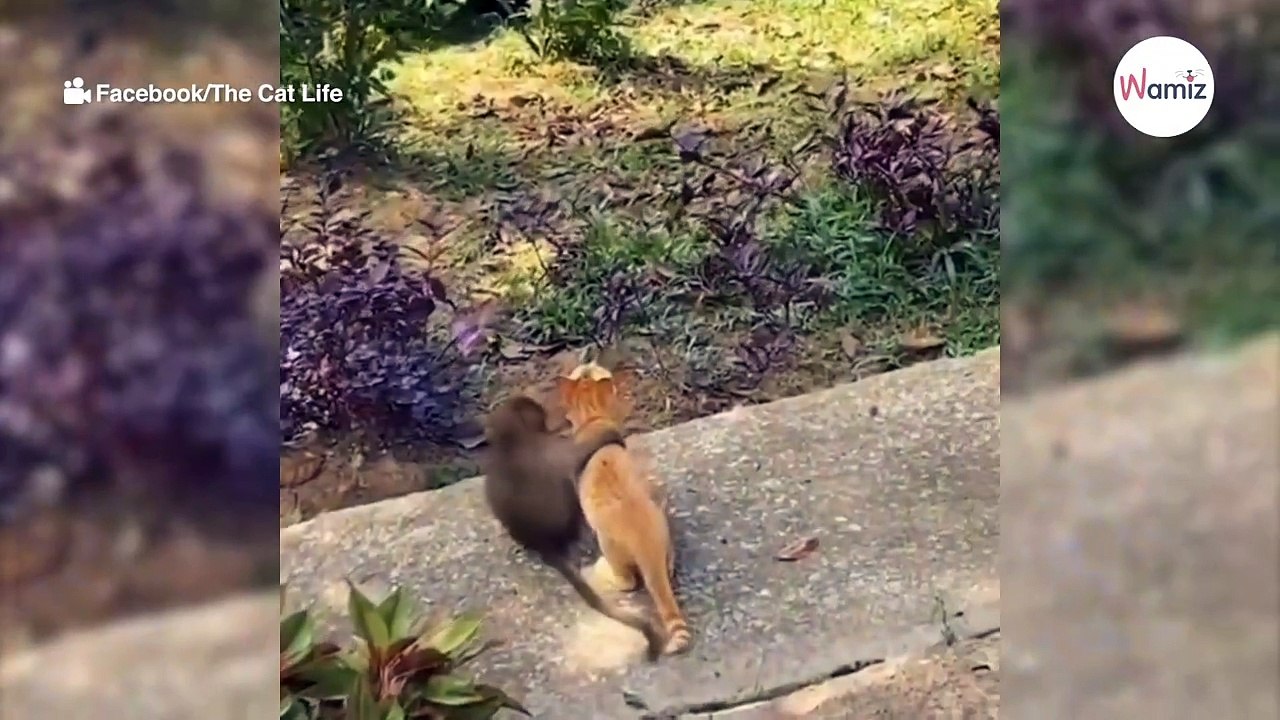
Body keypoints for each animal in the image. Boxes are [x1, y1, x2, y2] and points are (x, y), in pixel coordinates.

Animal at [479, 394, 664, 661]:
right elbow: (578, 454)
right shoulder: (554, 447)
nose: (551, 419)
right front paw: (611, 434)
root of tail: (540, 542)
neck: (510, 442)